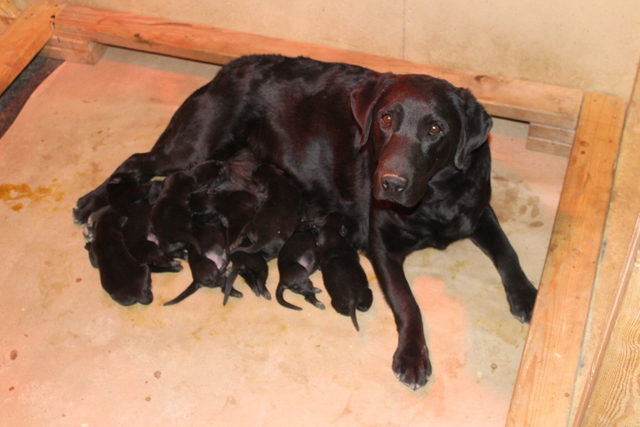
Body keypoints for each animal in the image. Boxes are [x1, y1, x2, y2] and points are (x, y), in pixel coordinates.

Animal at [72, 54, 536, 392]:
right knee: (136, 163)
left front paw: (529, 297)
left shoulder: (478, 210)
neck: (435, 197)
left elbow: (508, 253)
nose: (390, 182)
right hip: (194, 145)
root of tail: (230, 66)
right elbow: (408, 302)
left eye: (436, 129)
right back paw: (89, 206)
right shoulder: (381, 245)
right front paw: (412, 356)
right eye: (386, 120)